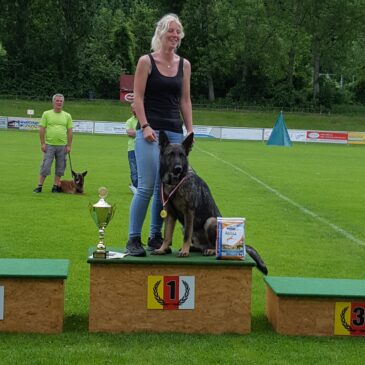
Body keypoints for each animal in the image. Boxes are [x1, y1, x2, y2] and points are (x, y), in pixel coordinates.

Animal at [154, 131, 268, 272]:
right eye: (170, 154)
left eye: (181, 155)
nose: (178, 168)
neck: (175, 183)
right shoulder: (170, 214)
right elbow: (167, 235)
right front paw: (162, 249)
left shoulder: (189, 211)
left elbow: (186, 236)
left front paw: (185, 251)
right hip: (184, 226)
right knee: (199, 244)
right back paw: (194, 248)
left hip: (210, 221)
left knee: (214, 245)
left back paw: (209, 250)